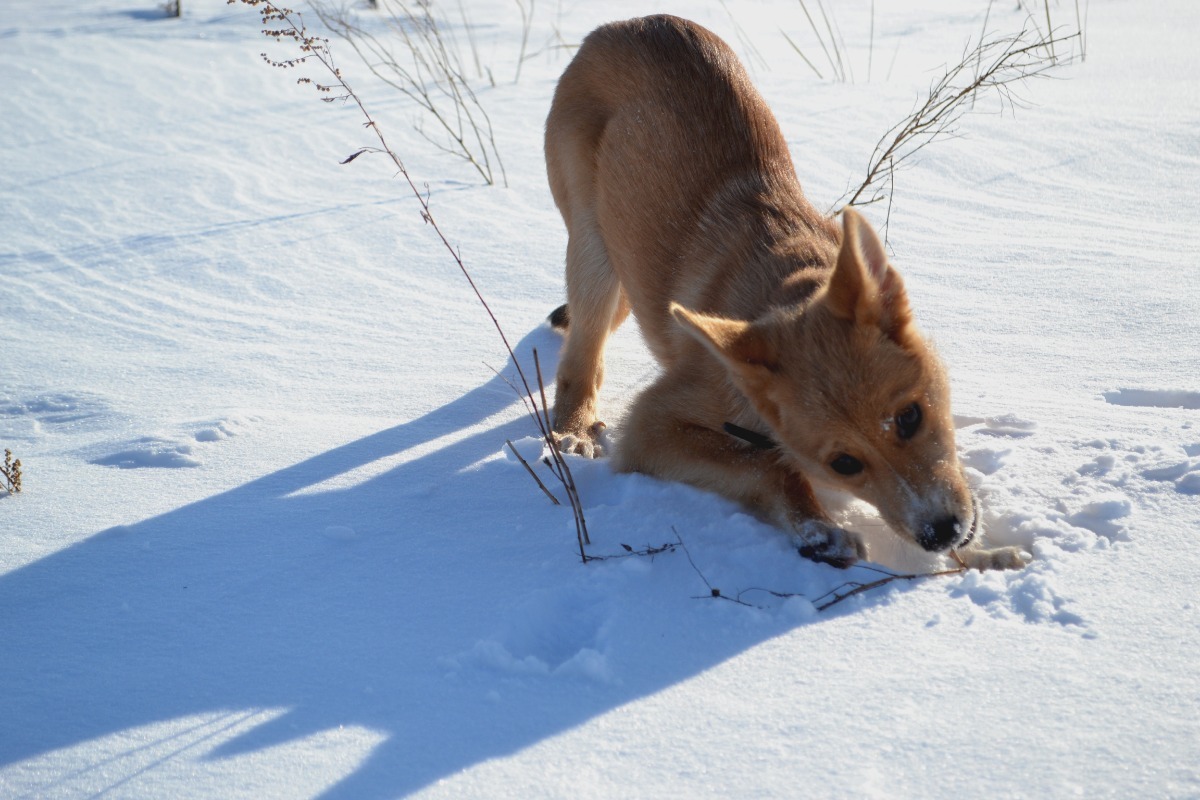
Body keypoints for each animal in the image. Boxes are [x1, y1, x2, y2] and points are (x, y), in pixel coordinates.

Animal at [542, 15, 1022, 573]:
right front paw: (820, 529)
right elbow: (770, 465)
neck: (786, 286)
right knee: (581, 360)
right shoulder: (650, 426)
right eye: (843, 463)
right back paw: (575, 430)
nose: (940, 531)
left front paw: (987, 558)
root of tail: (621, 24)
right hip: (592, 245)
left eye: (909, 417)